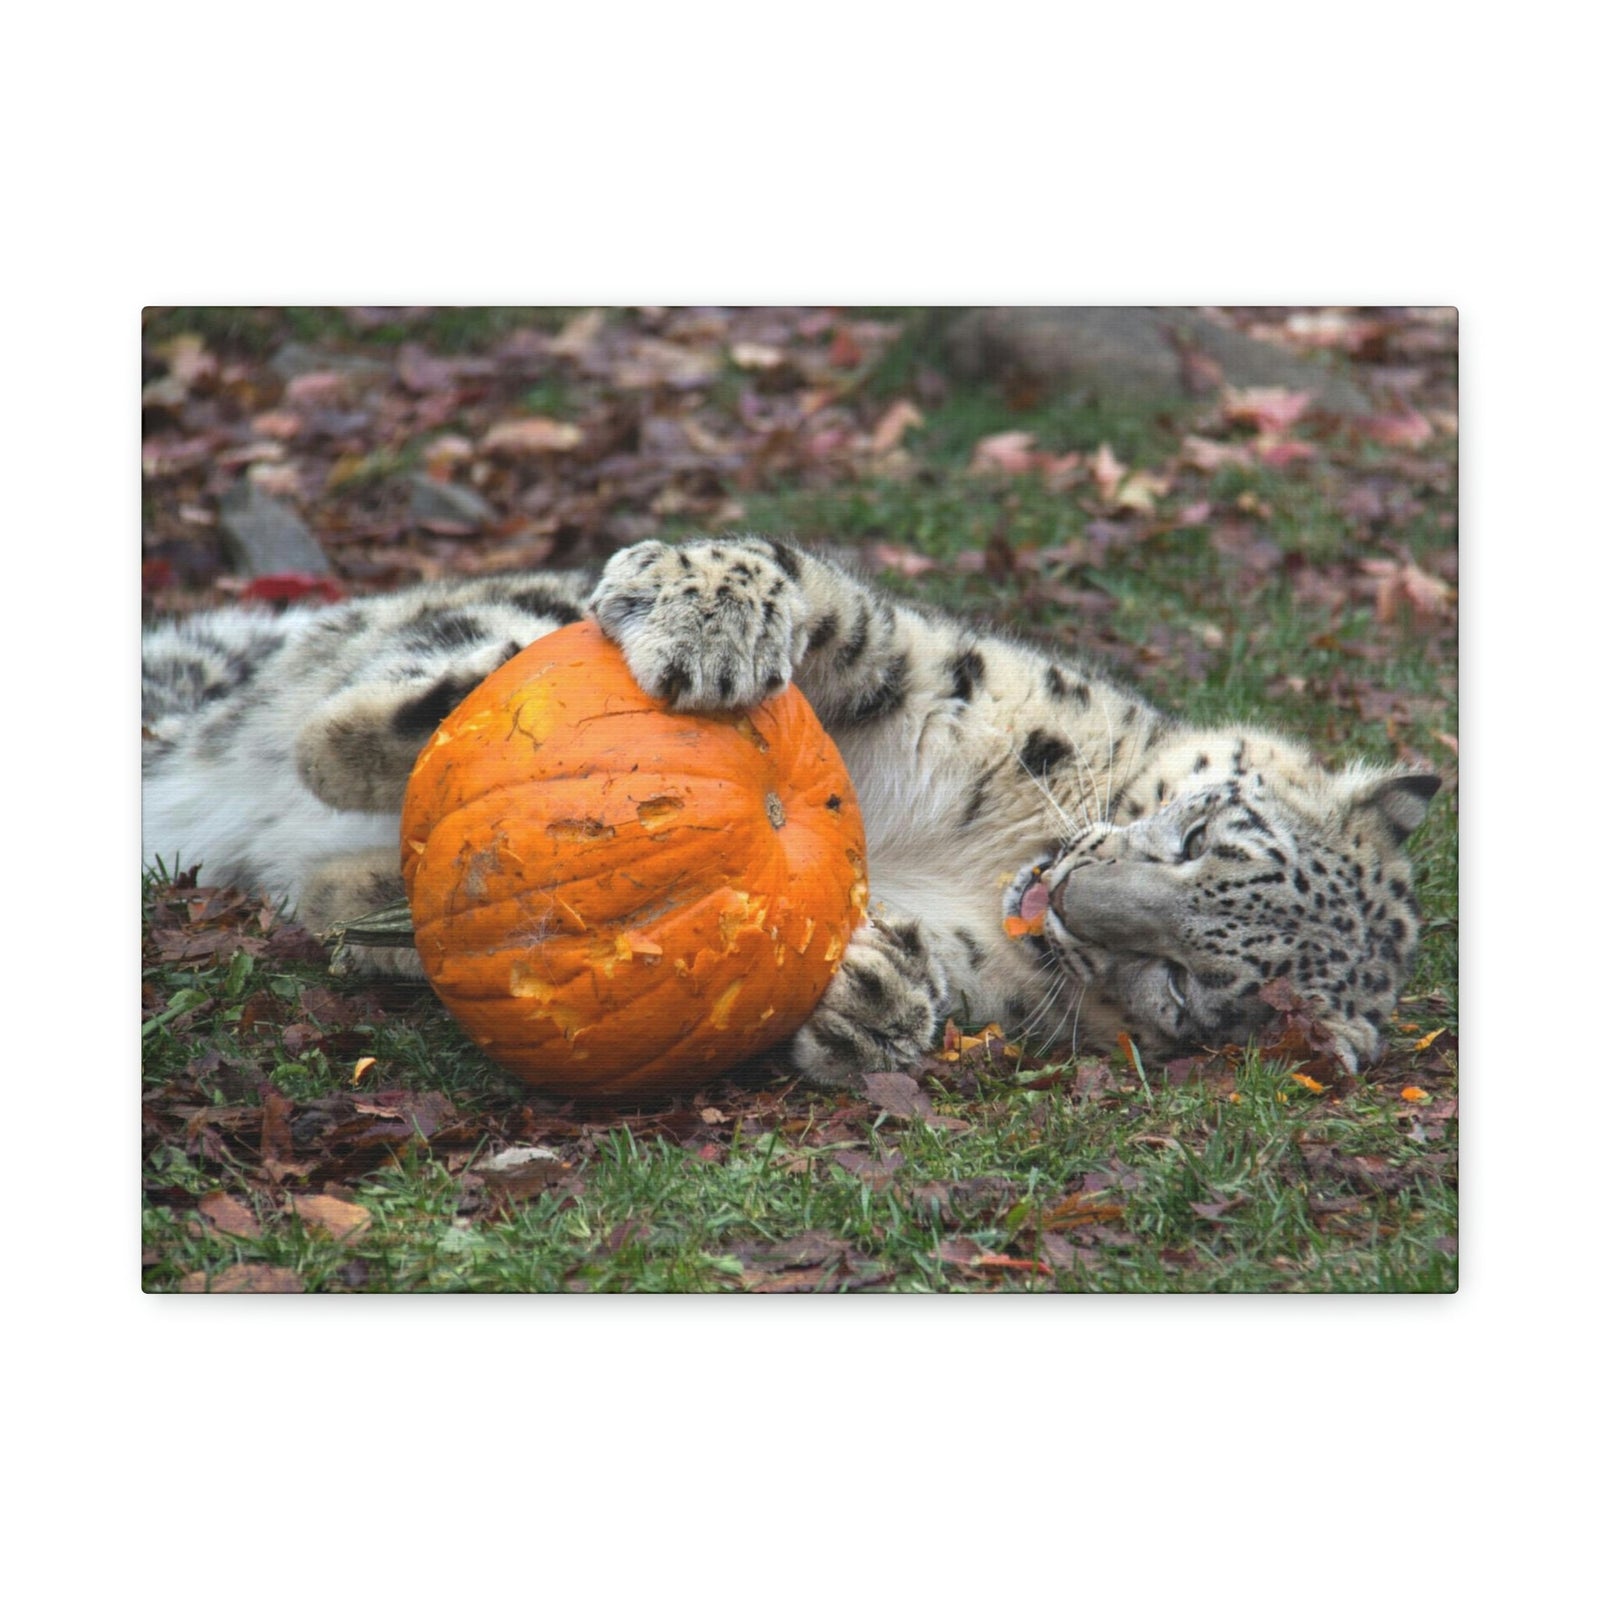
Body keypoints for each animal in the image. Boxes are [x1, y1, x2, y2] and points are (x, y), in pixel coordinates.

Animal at [142, 535, 1441, 1086]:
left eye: (1181, 985)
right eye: (1199, 829)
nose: (1074, 894)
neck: (1003, 846)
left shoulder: (1012, 974)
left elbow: (946, 975)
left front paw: (874, 993)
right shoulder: (951, 675)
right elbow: (832, 606)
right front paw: (708, 619)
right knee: (371, 703)